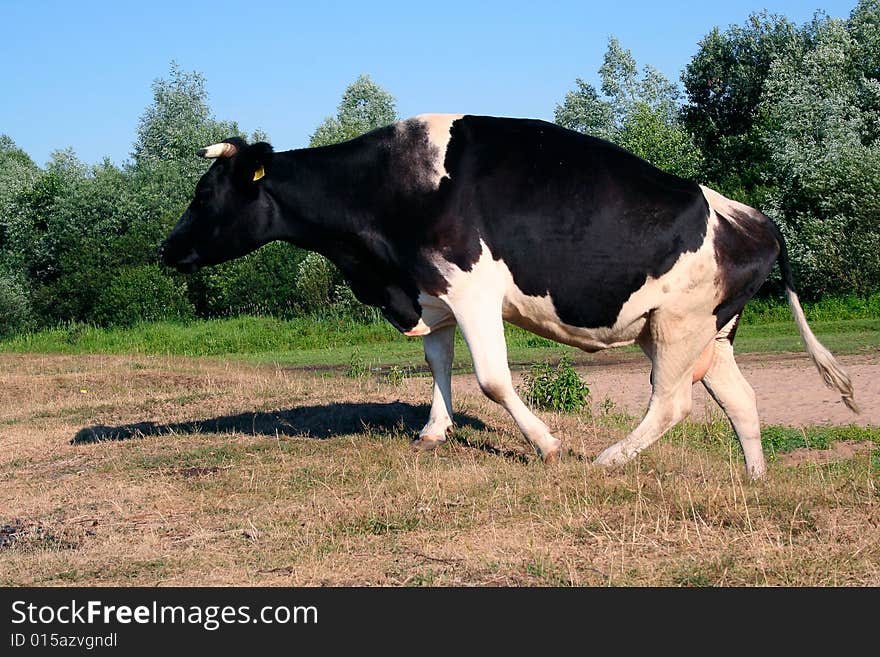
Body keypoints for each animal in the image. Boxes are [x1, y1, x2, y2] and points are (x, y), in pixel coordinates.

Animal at [162, 114, 856, 476]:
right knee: (741, 400)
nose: (166, 250)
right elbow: (437, 363)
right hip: (711, 331)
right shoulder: (433, 290)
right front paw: (433, 432)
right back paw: (754, 481)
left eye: (204, 193)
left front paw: (547, 444)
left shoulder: (472, 289)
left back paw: (607, 460)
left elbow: (493, 378)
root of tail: (750, 215)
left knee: (672, 404)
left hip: (678, 326)